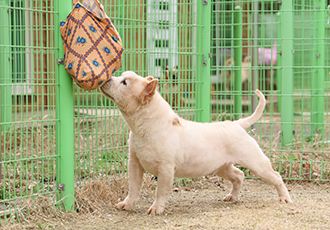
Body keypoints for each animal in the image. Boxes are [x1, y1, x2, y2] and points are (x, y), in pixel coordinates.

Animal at [100, 70, 292, 216]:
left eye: (124, 82)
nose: (106, 78)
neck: (148, 125)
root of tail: (237, 124)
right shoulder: (134, 163)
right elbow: (133, 187)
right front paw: (126, 205)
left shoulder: (166, 169)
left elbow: (160, 191)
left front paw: (156, 209)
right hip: (222, 167)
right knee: (238, 175)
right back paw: (232, 197)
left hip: (256, 163)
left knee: (276, 176)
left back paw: (284, 198)